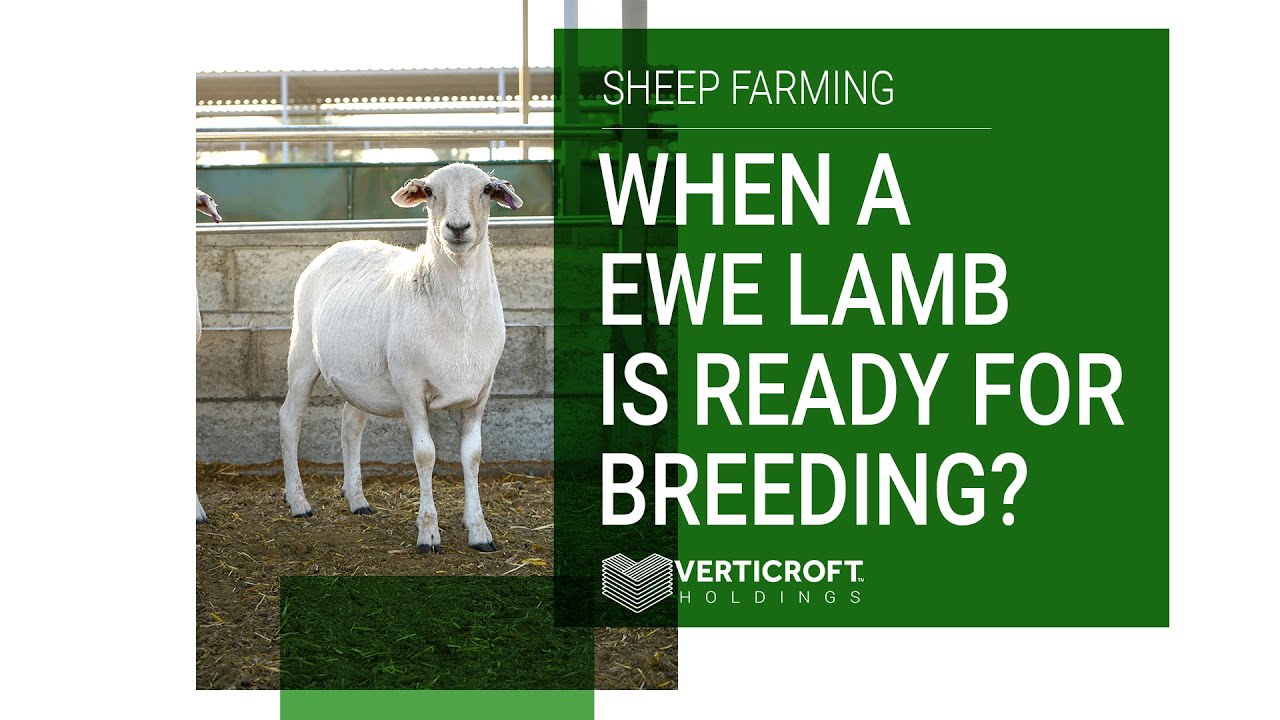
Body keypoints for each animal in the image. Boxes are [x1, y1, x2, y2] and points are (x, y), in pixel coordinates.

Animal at [279, 163, 522, 553]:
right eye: (431, 192)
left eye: (486, 189)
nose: (457, 228)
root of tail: (342, 243)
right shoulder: (410, 387)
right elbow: (425, 454)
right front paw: (428, 534)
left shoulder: (481, 391)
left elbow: (472, 455)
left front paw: (479, 531)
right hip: (301, 352)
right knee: (290, 419)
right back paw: (298, 502)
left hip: (360, 378)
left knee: (350, 424)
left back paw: (357, 500)